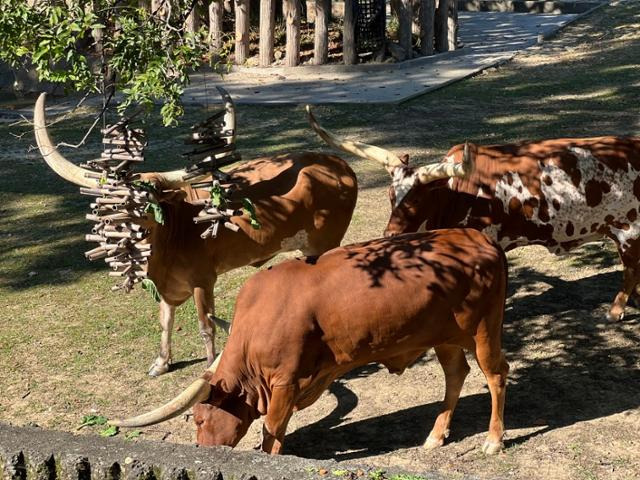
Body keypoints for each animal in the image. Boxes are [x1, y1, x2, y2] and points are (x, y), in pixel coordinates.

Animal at [35, 94, 358, 376]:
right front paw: (161, 362)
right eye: (123, 200)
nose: (139, 223)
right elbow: (165, 320)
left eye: (153, 197)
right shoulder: (166, 287)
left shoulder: (203, 279)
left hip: (326, 243)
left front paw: (210, 365)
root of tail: (340, 165)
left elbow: (206, 325)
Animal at [112, 227, 508, 456]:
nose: (203, 451)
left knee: (496, 375)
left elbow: (272, 433)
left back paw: (493, 439)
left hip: (483, 331)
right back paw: (436, 435)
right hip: (445, 336)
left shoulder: (284, 382)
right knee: (456, 374)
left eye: (198, 419)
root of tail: (481, 238)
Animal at [306, 105, 640, 322]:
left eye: (418, 198)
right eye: (391, 195)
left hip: (628, 228)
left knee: (630, 268)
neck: (458, 192)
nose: (390, 234)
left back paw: (617, 309)